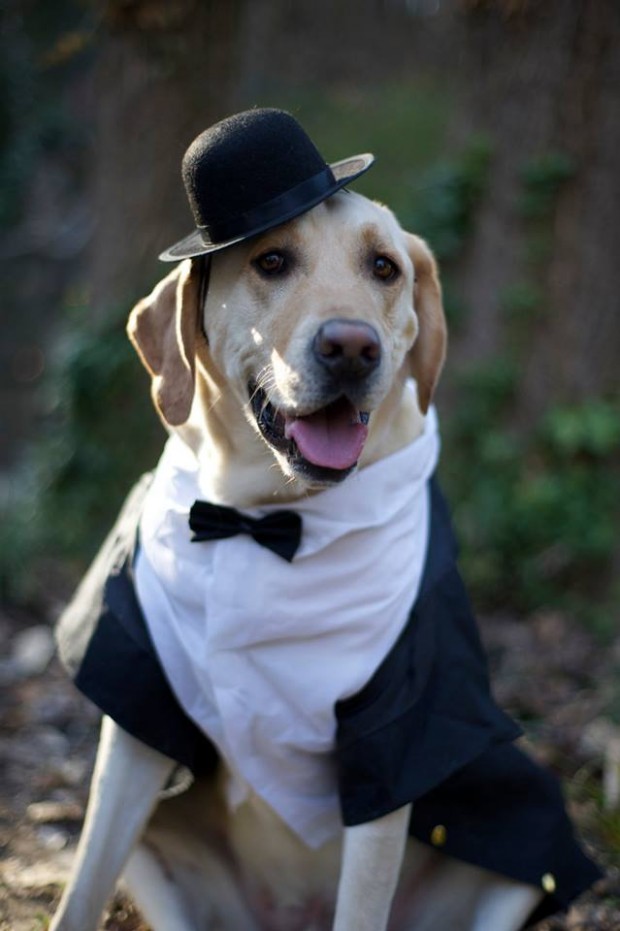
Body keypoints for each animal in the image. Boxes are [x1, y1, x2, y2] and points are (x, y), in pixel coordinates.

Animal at [50, 110, 600, 931]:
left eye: (385, 268)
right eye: (272, 260)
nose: (351, 347)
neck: (261, 519)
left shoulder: (396, 737)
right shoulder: (133, 717)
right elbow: (81, 889)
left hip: (524, 865)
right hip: (157, 855)